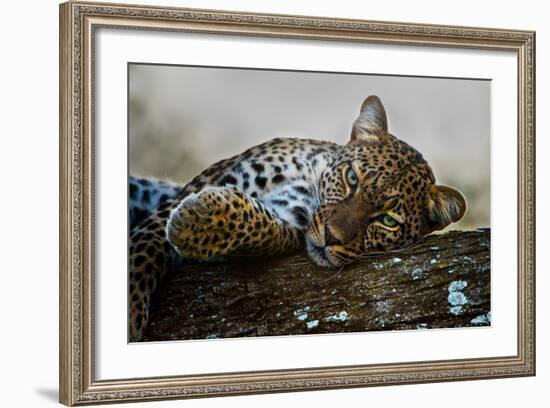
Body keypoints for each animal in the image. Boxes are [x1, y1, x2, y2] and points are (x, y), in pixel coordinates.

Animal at [128, 95, 466, 342]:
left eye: (389, 221)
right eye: (352, 178)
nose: (332, 237)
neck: (306, 179)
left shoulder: (287, 223)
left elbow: (261, 226)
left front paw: (198, 221)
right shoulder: (190, 190)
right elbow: (145, 251)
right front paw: (130, 313)